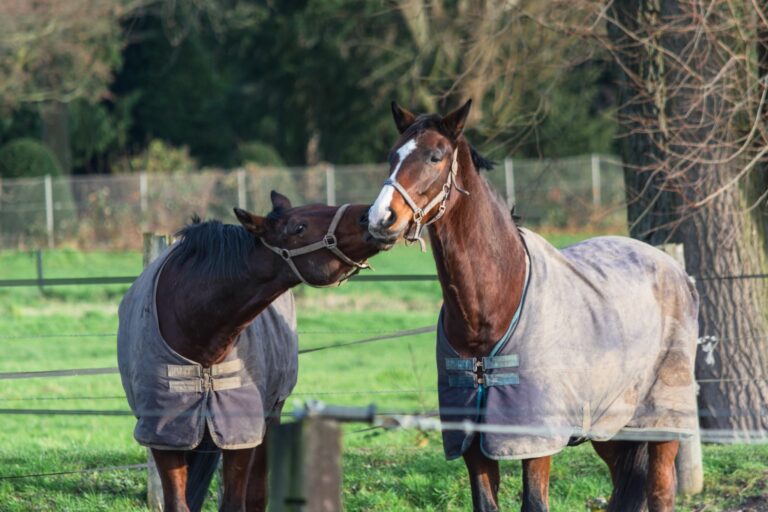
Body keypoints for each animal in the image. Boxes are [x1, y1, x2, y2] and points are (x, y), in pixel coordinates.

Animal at [118, 191, 387, 512]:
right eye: (299, 227)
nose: (371, 215)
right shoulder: (164, 436)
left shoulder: (241, 433)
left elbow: (237, 501)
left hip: (269, 419)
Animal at [367, 101, 700, 512]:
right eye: (392, 156)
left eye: (435, 156)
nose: (380, 218)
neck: (491, 309)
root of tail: (674, 270)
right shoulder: (473, 441)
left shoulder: (536, 440)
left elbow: (534, 502)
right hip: (610, 425)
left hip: (662, 422)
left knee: (660, 490)